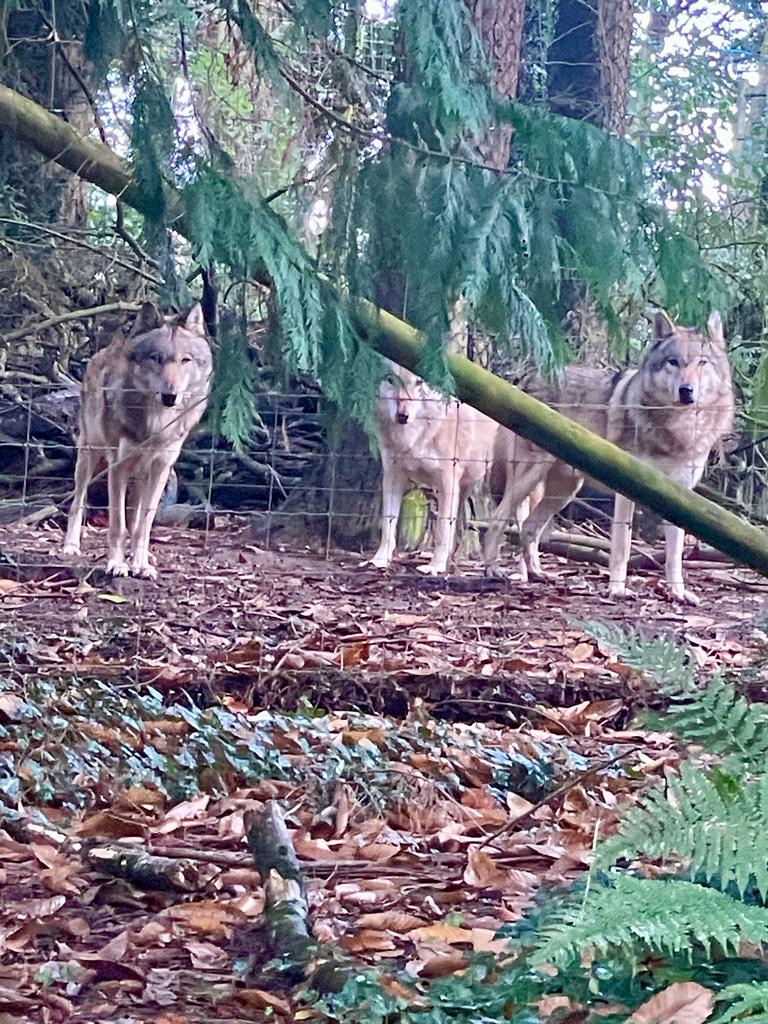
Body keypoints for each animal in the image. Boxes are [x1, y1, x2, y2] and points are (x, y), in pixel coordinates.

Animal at [62, 302, 213, 579]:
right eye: (156, 358)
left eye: (185, 360)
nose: (170, 396)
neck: (156, 424)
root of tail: (108, 347)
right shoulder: (118, 467)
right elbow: (117, 524)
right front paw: (117, 564)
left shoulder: (160, 468)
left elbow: (144, 525)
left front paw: (140, 565)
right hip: (88, 457)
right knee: (78, 502)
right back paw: (70, 547)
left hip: (141, 476)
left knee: (136, 519)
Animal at [370, 361, 537, 575]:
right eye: (391, 380)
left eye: (419, 382)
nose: (402, 416)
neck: (414, 437)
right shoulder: (393, 476)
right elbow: (388, 524)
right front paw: (379, 560)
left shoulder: (447, 481)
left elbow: (442, 529)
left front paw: (435, 566)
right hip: (474, 492)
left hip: (506, 494)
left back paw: (522, 575)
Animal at [484, 311, 734, 605]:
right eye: (673, 362)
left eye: (702, 363)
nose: (686, 390)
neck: (678, 430)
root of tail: (526, 377)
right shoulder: (628, 489)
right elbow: (622, 545)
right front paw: (617, 589)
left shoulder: (680, 497)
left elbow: (674, 555)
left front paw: (678, 593)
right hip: (530, 477)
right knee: (498, 519)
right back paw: (493, 570)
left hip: (564, 490)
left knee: (529, 528)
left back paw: (537, 574)